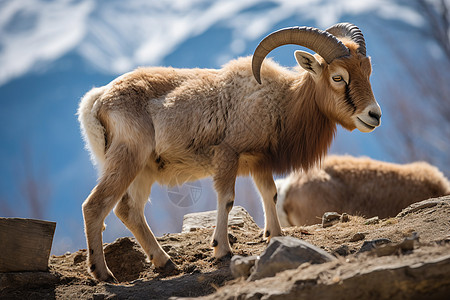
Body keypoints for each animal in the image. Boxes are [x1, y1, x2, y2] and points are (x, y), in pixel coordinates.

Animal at [79, 23, 382, 282]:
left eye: (367, 72)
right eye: (338, 77)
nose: (374, 115)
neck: (277, 100)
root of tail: (97, 100)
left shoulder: (259, 162)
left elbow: (269, 194)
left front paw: (276, 236)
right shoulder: (228, 156)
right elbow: (226, 199)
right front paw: (222, 250)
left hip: (144, 170)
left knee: (129, 209)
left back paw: (165, 263)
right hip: (128, 159)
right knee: (95, 205)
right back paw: (103, 274)